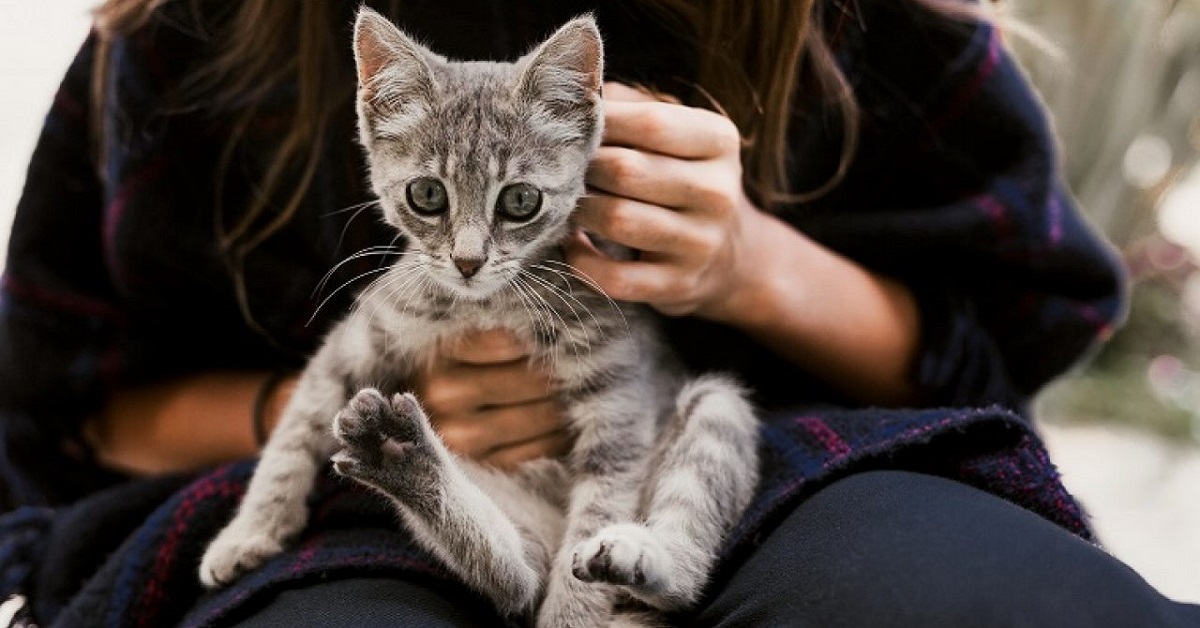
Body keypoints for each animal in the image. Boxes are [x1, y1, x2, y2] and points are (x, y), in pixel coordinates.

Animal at [198, 9, 758, 628]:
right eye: (426, 194)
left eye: (520, 201)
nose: (468, 262)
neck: (486, 305)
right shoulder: (358, 340)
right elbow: (293, 434)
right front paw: (249, 532)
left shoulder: (619, 404)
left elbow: (599, 507)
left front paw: (571, 619)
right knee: (515, 578)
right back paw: (404, 461)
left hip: (715, 411)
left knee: (670, 568)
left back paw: (633, 559)